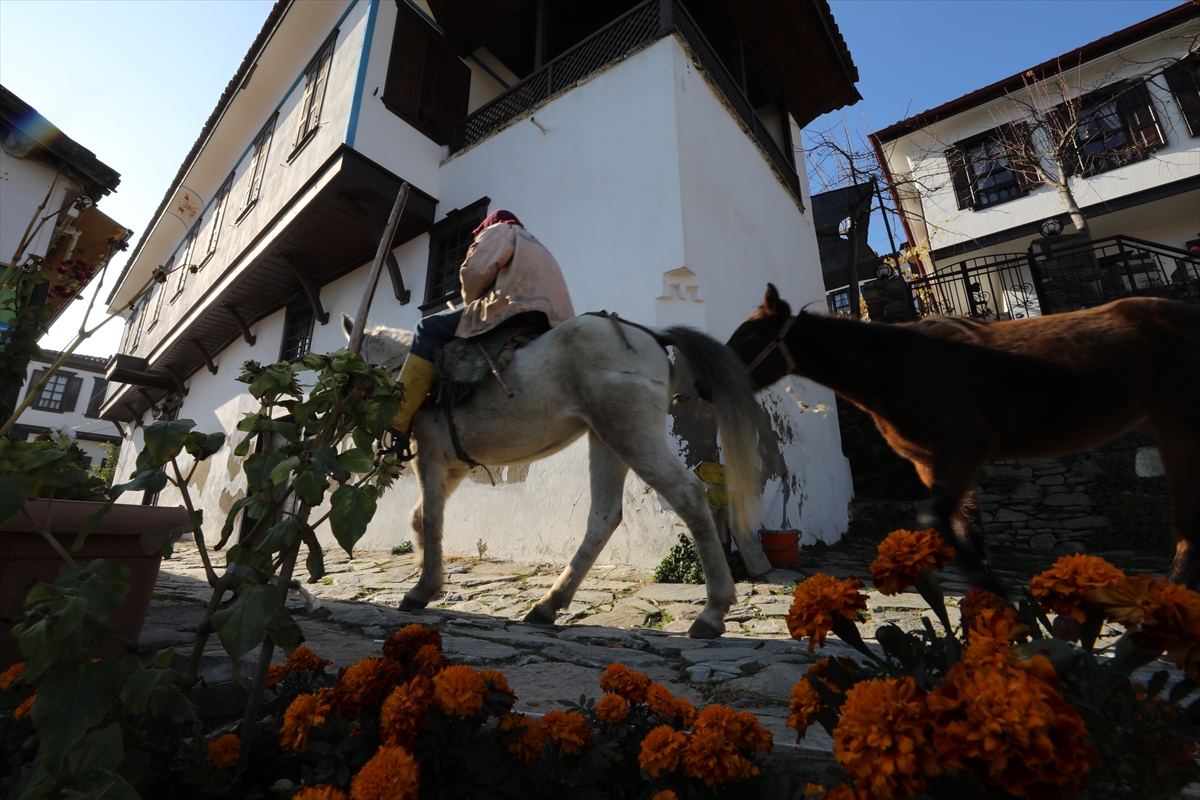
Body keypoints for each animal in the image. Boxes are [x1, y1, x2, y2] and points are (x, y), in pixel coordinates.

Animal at [343, 311, 768, 638]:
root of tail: (650, 334)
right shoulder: (454, 467)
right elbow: (420, 515)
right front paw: (420, 569)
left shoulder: (430, 457)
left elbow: (431, 518)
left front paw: (422, 589)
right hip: (607, 439)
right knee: (604, 516)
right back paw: (548, 605)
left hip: (629, 435)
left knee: (688, 495)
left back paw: (712, 612)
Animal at [720, 284, 1200, 592]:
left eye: (746, 335)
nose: (710, 381)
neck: (893, 367)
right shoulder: (931, 462)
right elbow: (967, 531)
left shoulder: (963, 448)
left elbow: (937, 521)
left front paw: (995, 590)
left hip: (1177, 424)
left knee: (1186, 525)